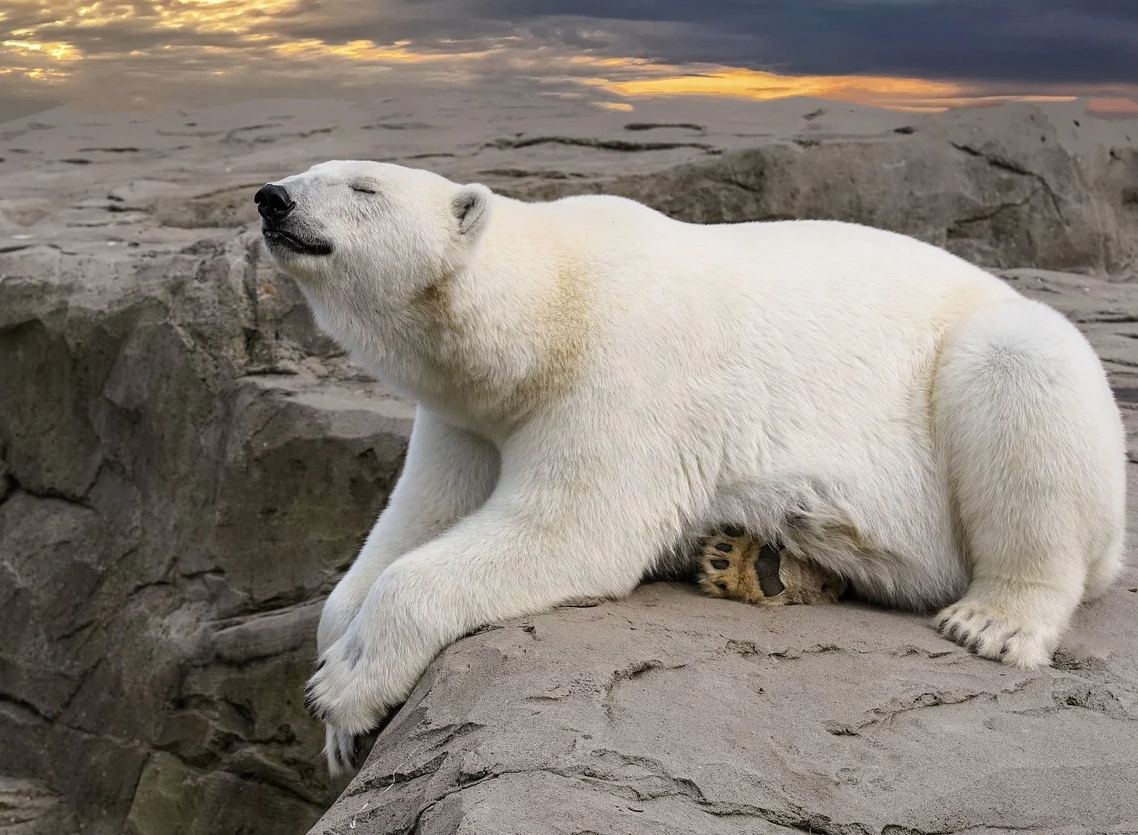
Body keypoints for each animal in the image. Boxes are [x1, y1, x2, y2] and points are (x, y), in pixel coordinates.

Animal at [253, 160, 1124, 773]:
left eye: (363, 186)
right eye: (314, 169)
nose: (272, 199)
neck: (549, 308)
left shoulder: (626, 366)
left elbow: (570, 530)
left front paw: (345, 685)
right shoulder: (466, 416)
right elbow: (416, 520)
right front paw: (340, 708)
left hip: (993, 373)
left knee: (1019, 376)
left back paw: (994, 619)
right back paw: (754, 557)